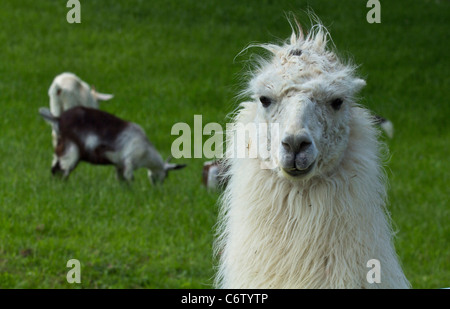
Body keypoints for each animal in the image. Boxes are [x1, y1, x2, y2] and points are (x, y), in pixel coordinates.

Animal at [39, 106, 185, 183]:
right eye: (165, 176)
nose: (158, 189)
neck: (146, 151)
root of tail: (58, 119)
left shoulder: (120, 164)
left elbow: (121, 181)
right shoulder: (129, 162)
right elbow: (129, 179)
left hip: (61, 148)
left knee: (55, 168)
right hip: (71, 150)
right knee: (63, 169)